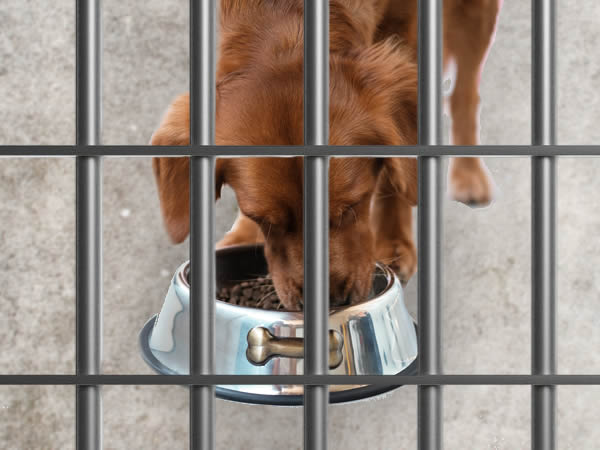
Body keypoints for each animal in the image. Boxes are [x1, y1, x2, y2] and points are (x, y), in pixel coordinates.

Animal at [150, 0, 501, 311]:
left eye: (353, 206)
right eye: (262, 219)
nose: (331, 302)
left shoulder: (406, 27)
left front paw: (394, 239)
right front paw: (242, 235)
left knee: (465, 92)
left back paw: (469, 174)